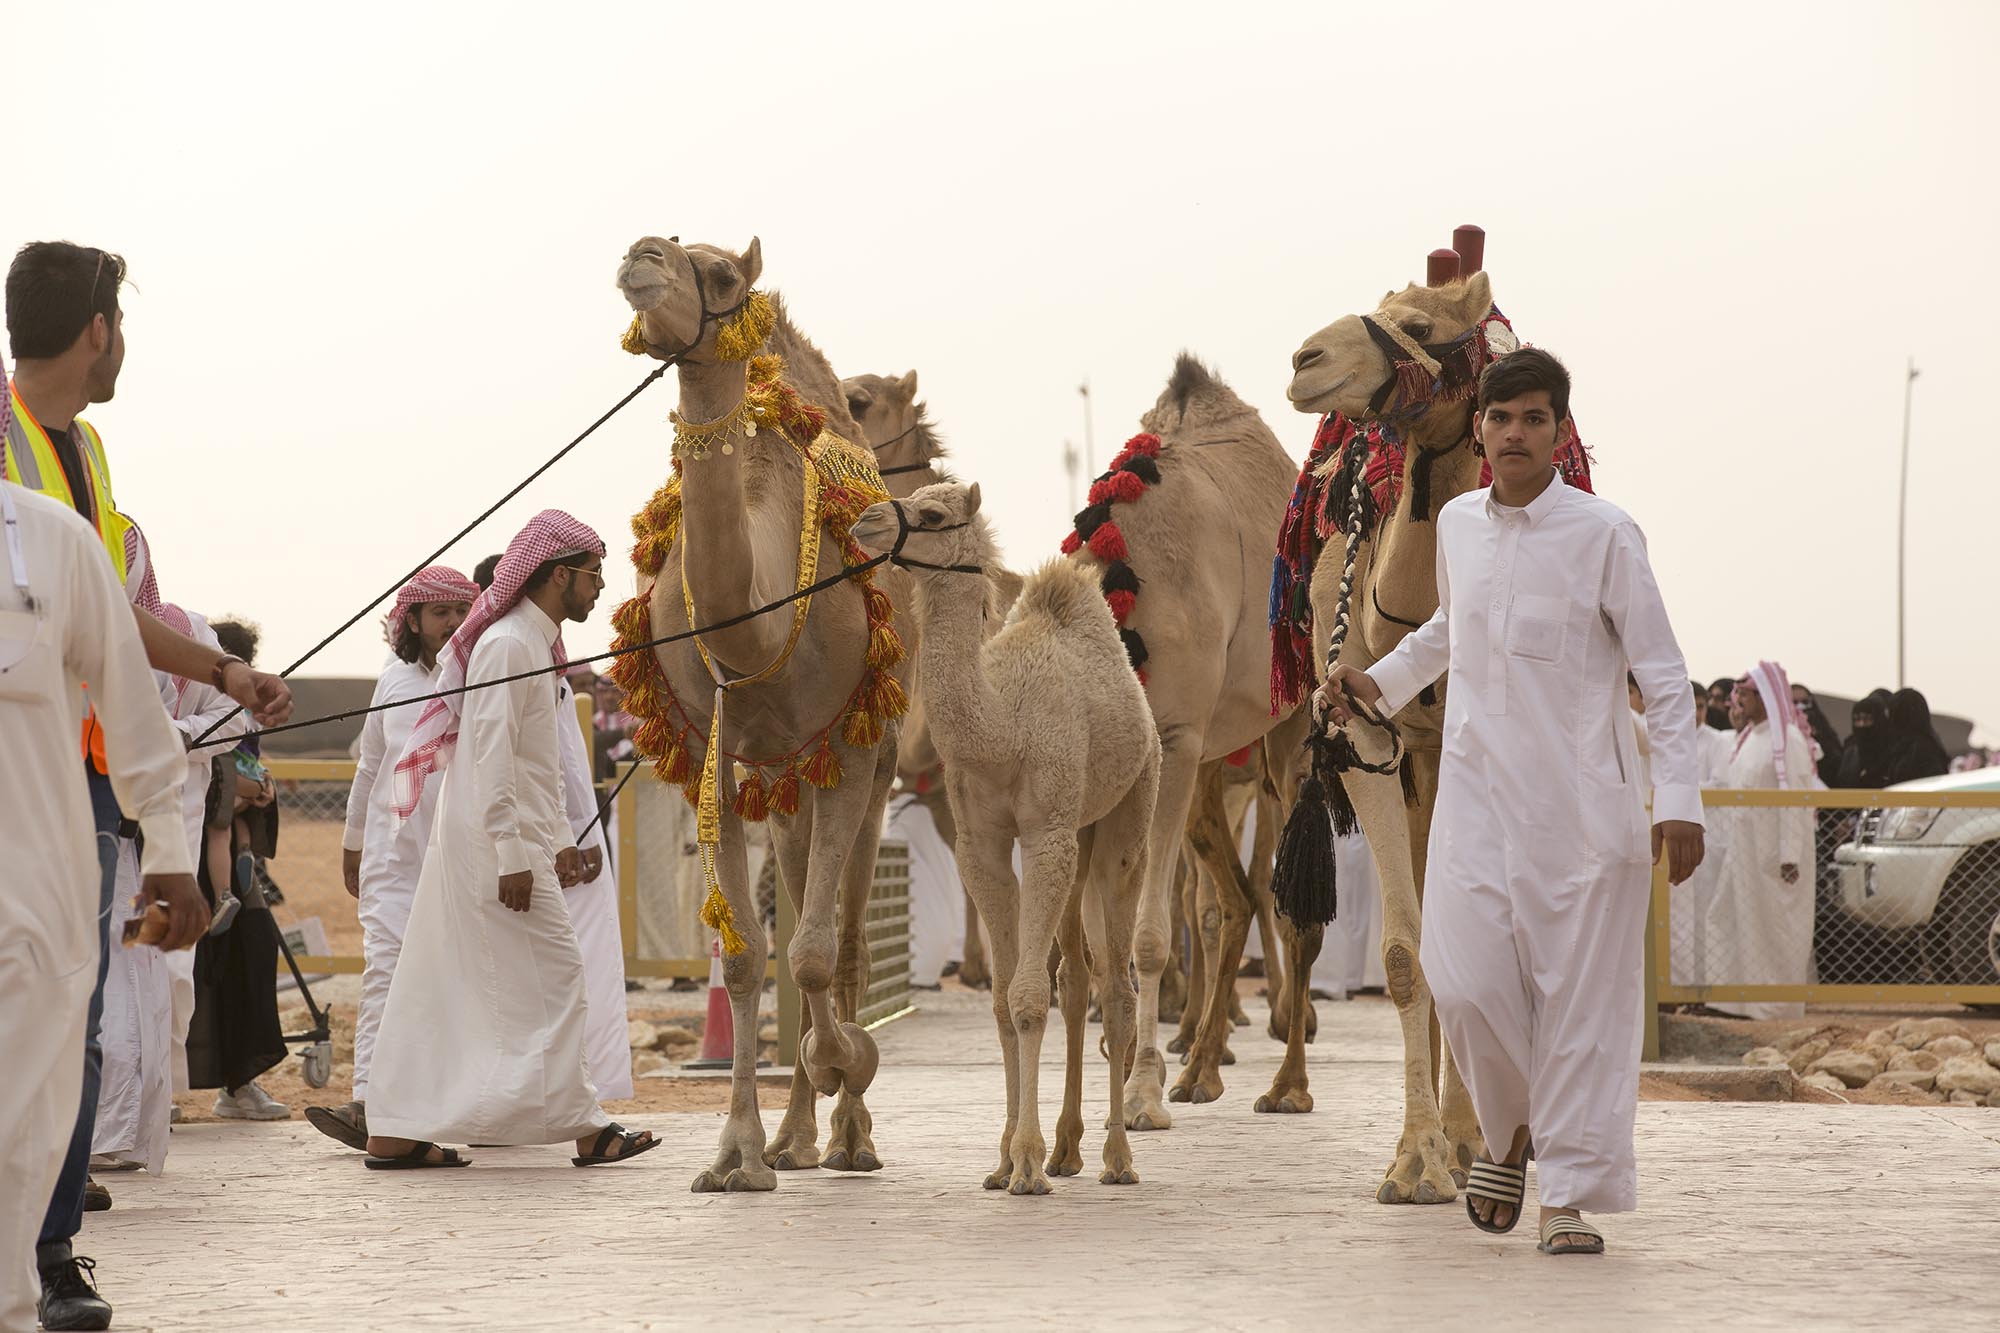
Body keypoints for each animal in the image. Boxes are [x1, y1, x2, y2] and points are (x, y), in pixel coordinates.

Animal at [608, 233, 916, 1184]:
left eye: (720, 276)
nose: (641, 254)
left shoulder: (852, 748)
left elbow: (816, 954)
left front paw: (848, 1057)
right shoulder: (711, 758)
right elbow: (747, 959)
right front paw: (739, 1150)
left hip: (874, 752)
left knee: (847, 941)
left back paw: (850, 1132)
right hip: (782, 771)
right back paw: (797, 1136)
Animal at [844, 482, 1160, 1184]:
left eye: (933, 514)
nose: (865, 519)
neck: (1003, 729)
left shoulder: (1045, 833)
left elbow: (1027, 997)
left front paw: (1027, 1164)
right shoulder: (980, 845)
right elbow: (1002, 1000)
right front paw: (1005, 1158)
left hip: (1129, 813)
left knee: (1116, 987)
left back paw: (1118, 1158)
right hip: (1082, 832)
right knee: (1078, 980)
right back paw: (1069, 1149)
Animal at [1064, 352, 1312, 1120]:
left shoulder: (1171, 740)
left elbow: (1146, 935)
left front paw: (1142, 1091)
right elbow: (1099, 937)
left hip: (1290, 718)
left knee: (1281, 896)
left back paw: (1285, 1083)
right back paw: (1207, 1065)